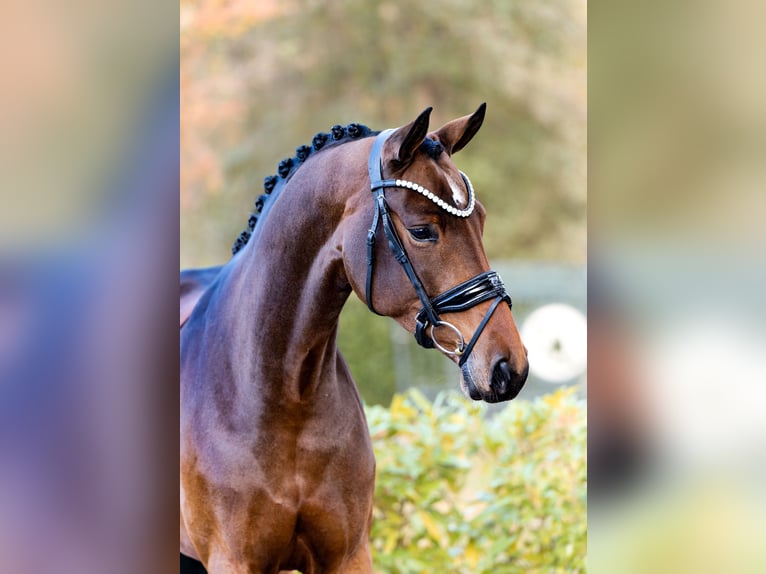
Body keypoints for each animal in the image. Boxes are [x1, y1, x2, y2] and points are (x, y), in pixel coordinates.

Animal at [182, 106, 528, 572]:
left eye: (482, 220)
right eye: (422, 231)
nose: (510, 366)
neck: (279, 395)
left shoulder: (349, 555)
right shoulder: (232, 560)